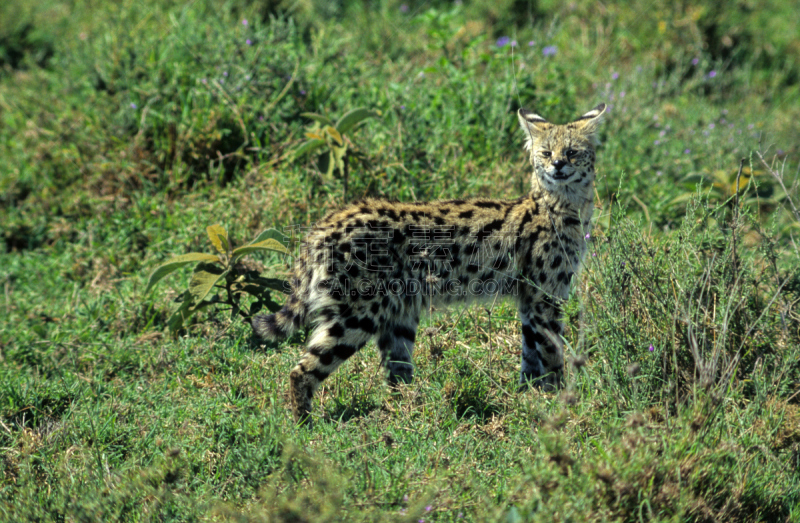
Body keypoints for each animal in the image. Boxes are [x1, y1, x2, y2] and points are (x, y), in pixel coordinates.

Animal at [252, 103, 608, 426]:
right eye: (546, 153)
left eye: (572, 152)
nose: (558, 165)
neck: (562, 206)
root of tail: (324, 224)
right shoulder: (544, 298)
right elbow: (551, 353)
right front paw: (560, 400)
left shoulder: (530, 300)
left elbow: (530, 355)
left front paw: (529, 398)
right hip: (357, 314)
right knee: (302, 369)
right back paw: (304, 426)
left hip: (397, 314)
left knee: (396, 375)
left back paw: (409, 412)